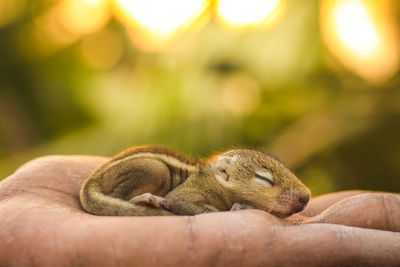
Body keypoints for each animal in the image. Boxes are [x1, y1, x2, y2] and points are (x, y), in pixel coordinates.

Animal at [79, 147, 310, 218]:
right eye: (264, 178)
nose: (306, 197)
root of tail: (92, 180)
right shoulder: (187, 192)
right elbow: (179, 201)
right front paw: (237, 208)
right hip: (155, 169)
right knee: (121, 197)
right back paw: (148, 199)